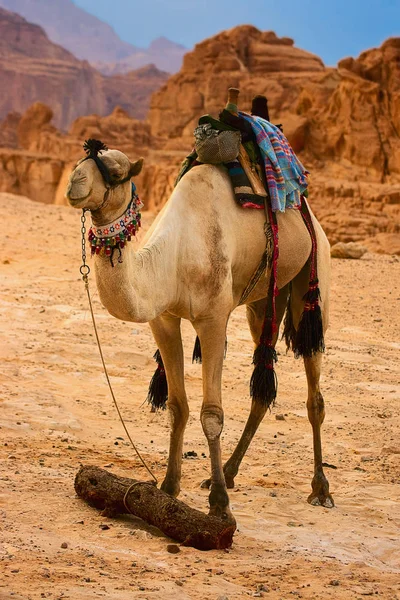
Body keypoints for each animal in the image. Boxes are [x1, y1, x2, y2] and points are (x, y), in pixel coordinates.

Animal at [66, 145, 334, 520]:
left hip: (314, 272)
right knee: (262, 383)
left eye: (117, 173)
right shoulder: (163, 318)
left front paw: (219, 504)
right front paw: (168, 487)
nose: (74, 183)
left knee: (314, 392)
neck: (171, 258)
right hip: (264, 300)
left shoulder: (213, 318)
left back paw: (320, 488)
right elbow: (177, 407)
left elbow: (212, 414)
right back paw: (231, 472)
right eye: (80, 162)